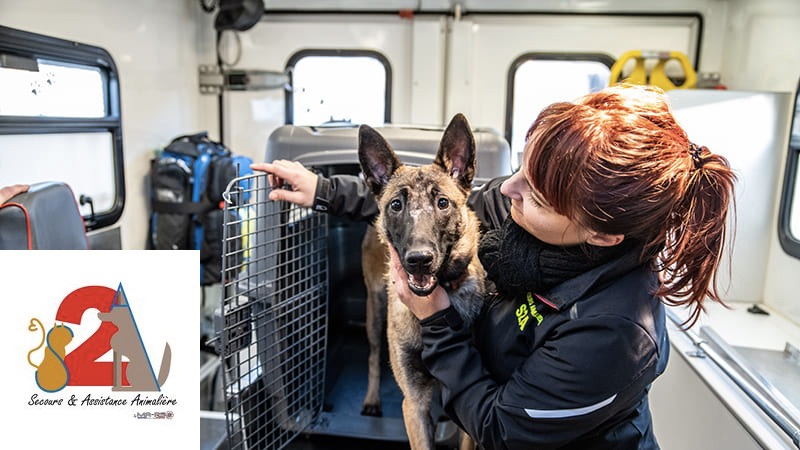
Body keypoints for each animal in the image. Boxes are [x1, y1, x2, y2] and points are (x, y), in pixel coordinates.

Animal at [360, 115, 484, 450]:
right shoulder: (414, 403)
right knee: (373, 356)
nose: (419, 259)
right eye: (396, 205)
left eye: (442, 203)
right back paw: (372, 400)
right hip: (374, 313)